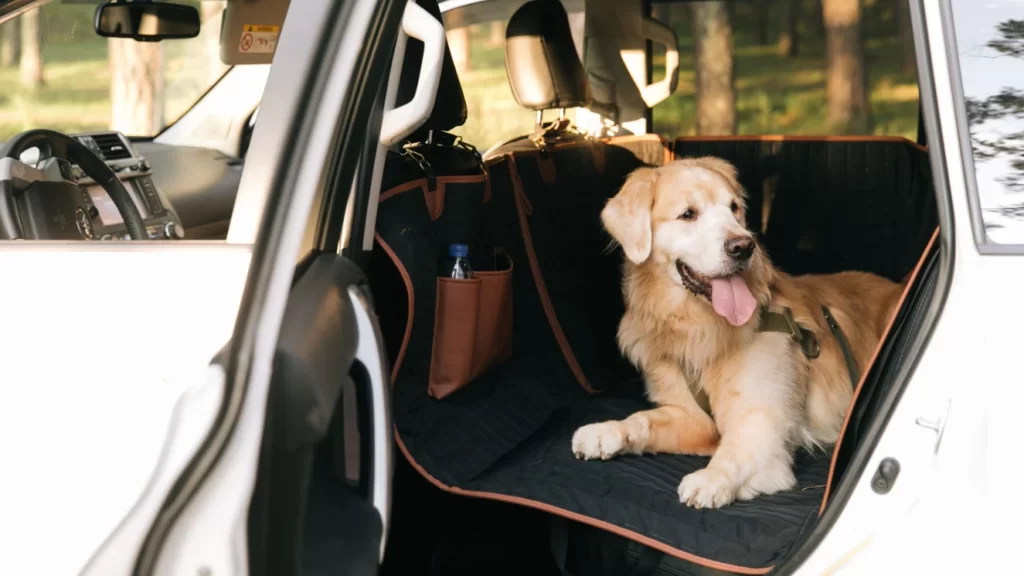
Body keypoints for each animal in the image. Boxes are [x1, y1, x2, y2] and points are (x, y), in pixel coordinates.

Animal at [573, 156, 901, 506]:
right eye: (688, 214)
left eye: (734, 208)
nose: (744, 247)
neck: (698, 326)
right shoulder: (692, 417)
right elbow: (643, 419)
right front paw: (605, 431)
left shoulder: (761, 418)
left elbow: (735, 451)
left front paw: (712, 478)